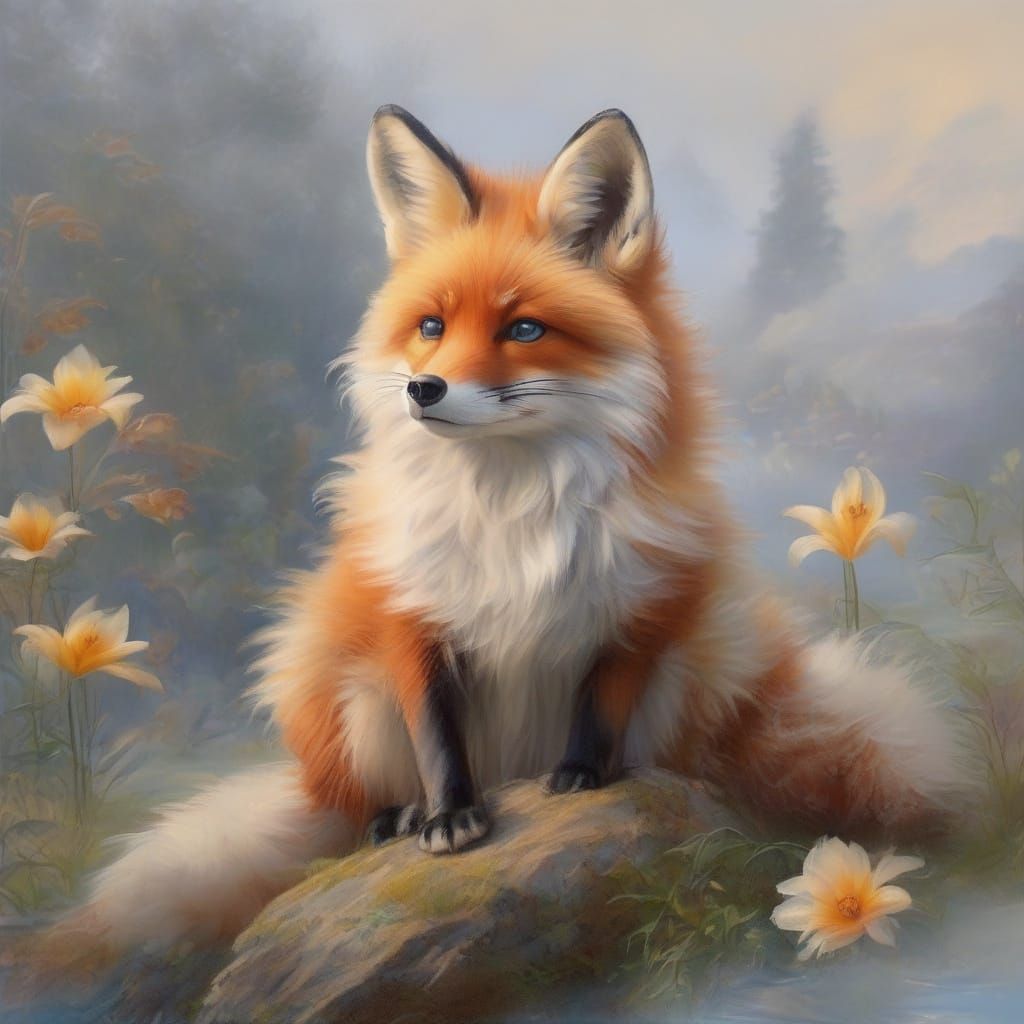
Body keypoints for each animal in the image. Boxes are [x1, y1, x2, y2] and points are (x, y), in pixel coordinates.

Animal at [64, 106, 963, 952]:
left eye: (524, 329)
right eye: (431, 326)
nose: (423, 390)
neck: (513, 507)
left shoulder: (642, 604)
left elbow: (600, 703)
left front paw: (582, 778)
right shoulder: (409, 616)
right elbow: (437, 734)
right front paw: (449, 816)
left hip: (706, 669)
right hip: (338, 688)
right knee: (345, 812)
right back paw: (392, 818)